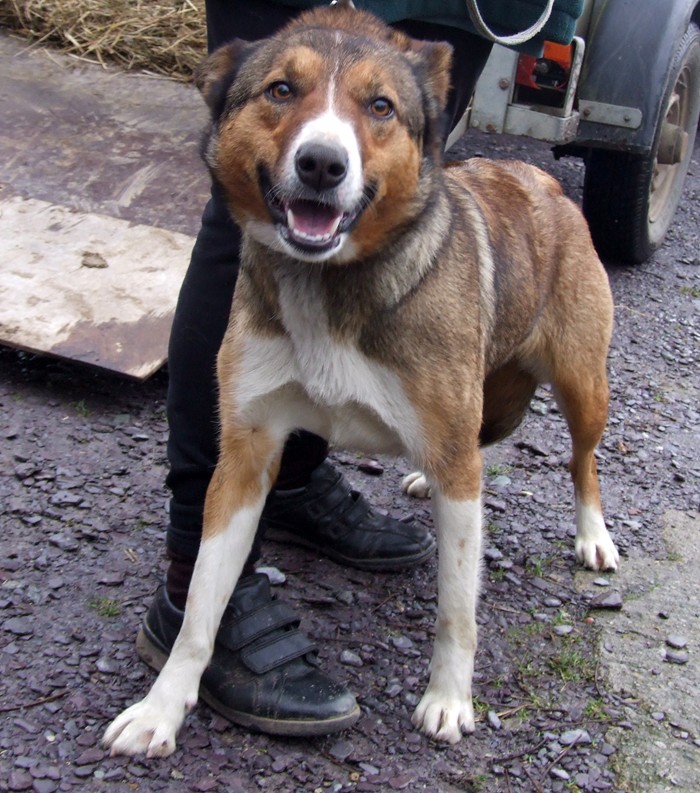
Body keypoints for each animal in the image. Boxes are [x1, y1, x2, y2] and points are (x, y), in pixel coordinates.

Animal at [102, 0, 616, 756]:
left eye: (380, 106)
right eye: (281, 90)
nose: (321, 163)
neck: (329, 284)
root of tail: (544, 181)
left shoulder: (462, 479)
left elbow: (456, 610)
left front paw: (448, 699)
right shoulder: (245, 455)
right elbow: (200, 605)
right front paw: (162, 706)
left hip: (582, 385)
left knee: (581, 460)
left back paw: (593, 535)